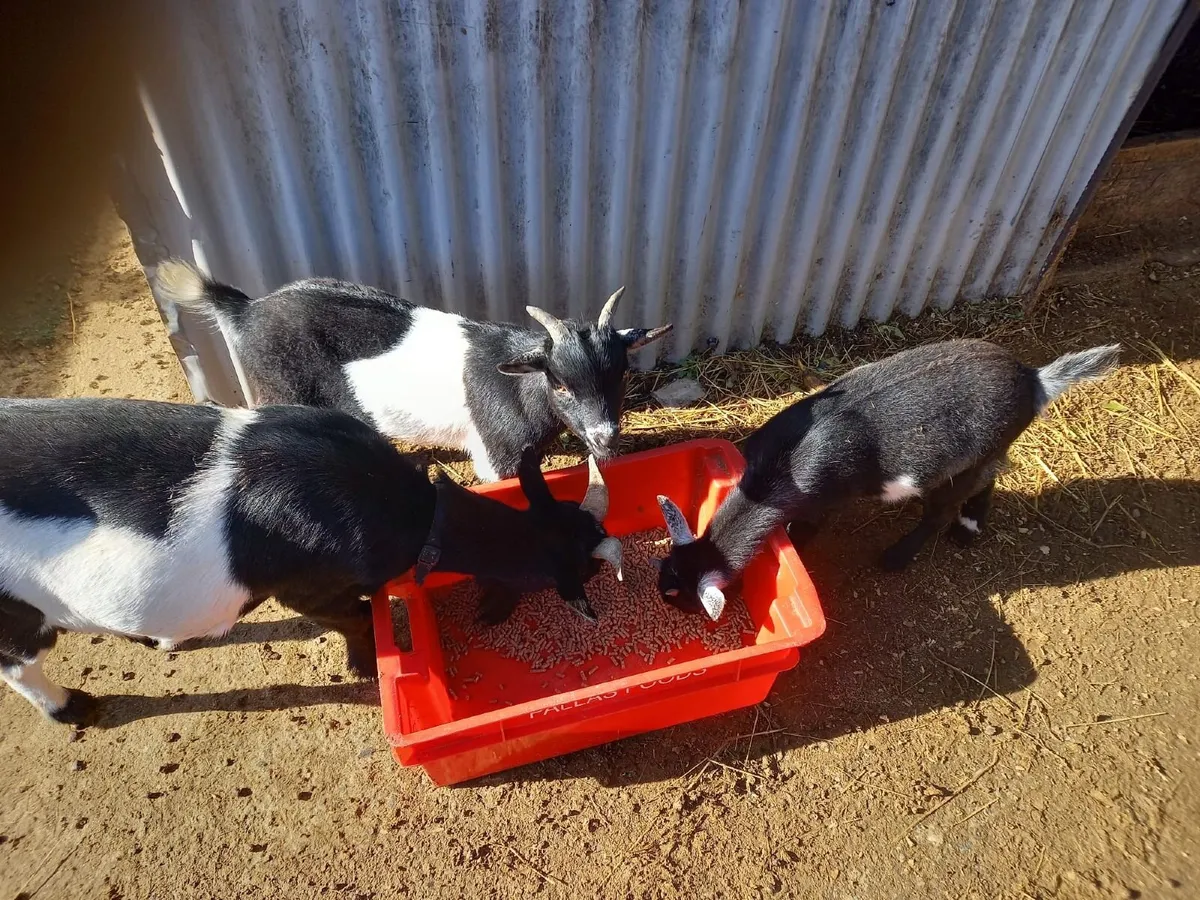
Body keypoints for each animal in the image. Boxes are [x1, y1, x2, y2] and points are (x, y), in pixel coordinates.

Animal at [0, 398, 622, 726]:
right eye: (582, 569)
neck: (419, 514)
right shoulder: (308, 588)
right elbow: (356, 616)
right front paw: (365, 666)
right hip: (17, 614)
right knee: (19, 667)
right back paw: (72, 709)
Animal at [155, 261, 672, 482]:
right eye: (559, 383)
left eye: (621, 375)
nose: (606, 436)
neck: (518, 388)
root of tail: (244, 309)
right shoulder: (496, 453)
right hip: (277, 390)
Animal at [653, 340, 1121, 620]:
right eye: (665, 572)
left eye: (686, 600)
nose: (668, 604)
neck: (779, 470)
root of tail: (1034, 379)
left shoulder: (827, 496)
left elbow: (808, 527)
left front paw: (795, 541)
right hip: (987, 452)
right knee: (990, 477)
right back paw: (968, 528)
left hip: (967, 459)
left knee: (944, 507)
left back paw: (904, 554)